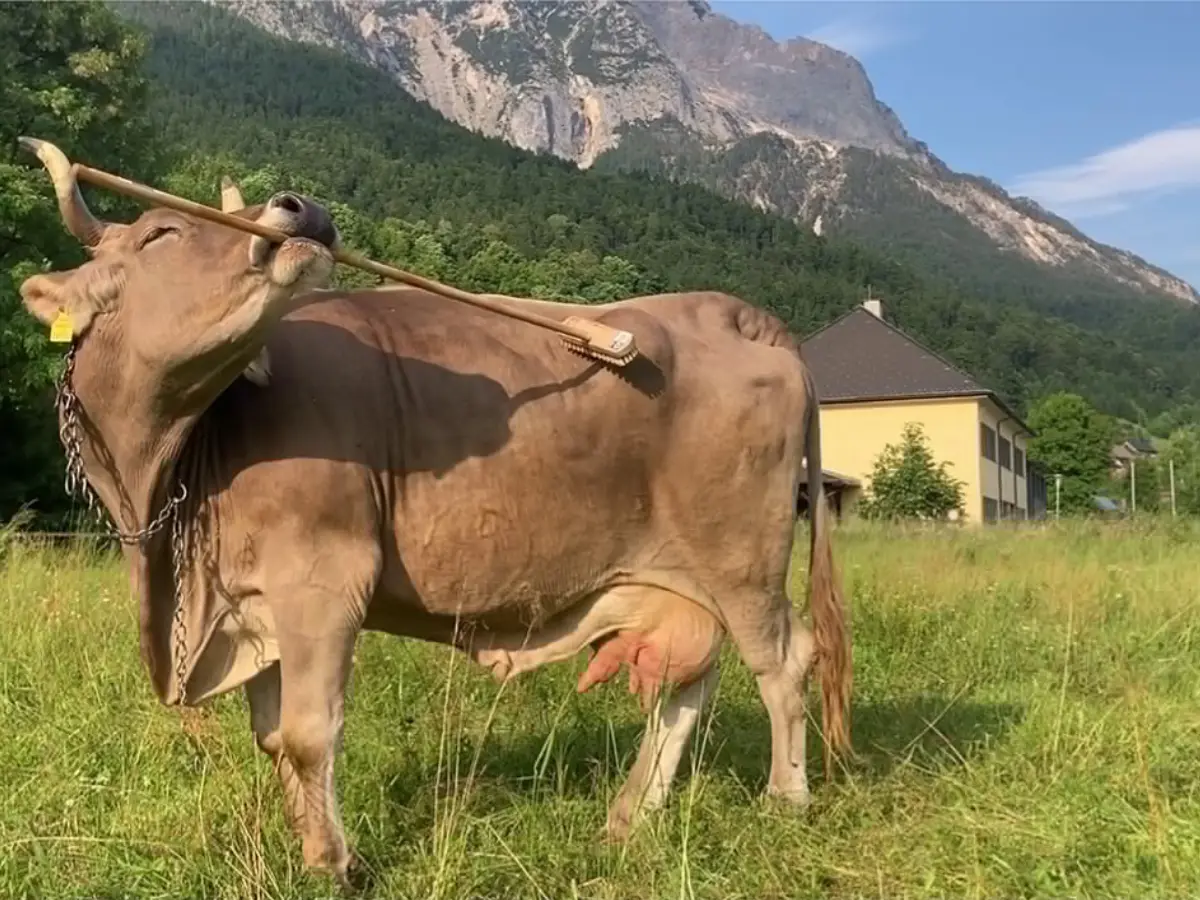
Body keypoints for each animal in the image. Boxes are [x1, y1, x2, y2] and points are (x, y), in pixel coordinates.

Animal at [18, 140, 851, 891]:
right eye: (160, 234)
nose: (302, 208)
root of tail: (731, 311)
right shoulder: (252, 605)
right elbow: (273, 736)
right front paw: (309, 849)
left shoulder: (322, 582)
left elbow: (309, 734)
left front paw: (334, 865)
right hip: (680, 577)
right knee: (690, 682)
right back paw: (628, 818)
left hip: (742, 557)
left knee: (783, 661)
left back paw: (785, 799)